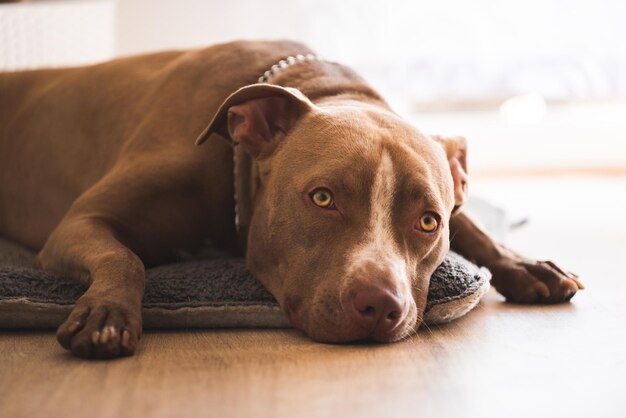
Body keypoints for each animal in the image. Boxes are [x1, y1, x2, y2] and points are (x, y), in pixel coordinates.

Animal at [1, 40, 580, 358]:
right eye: (322, 198)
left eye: (429, 222)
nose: (380, 305)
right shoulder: (81, 223)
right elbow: (125, 258)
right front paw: (107, 315)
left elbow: (476, 226)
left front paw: (526, 265)